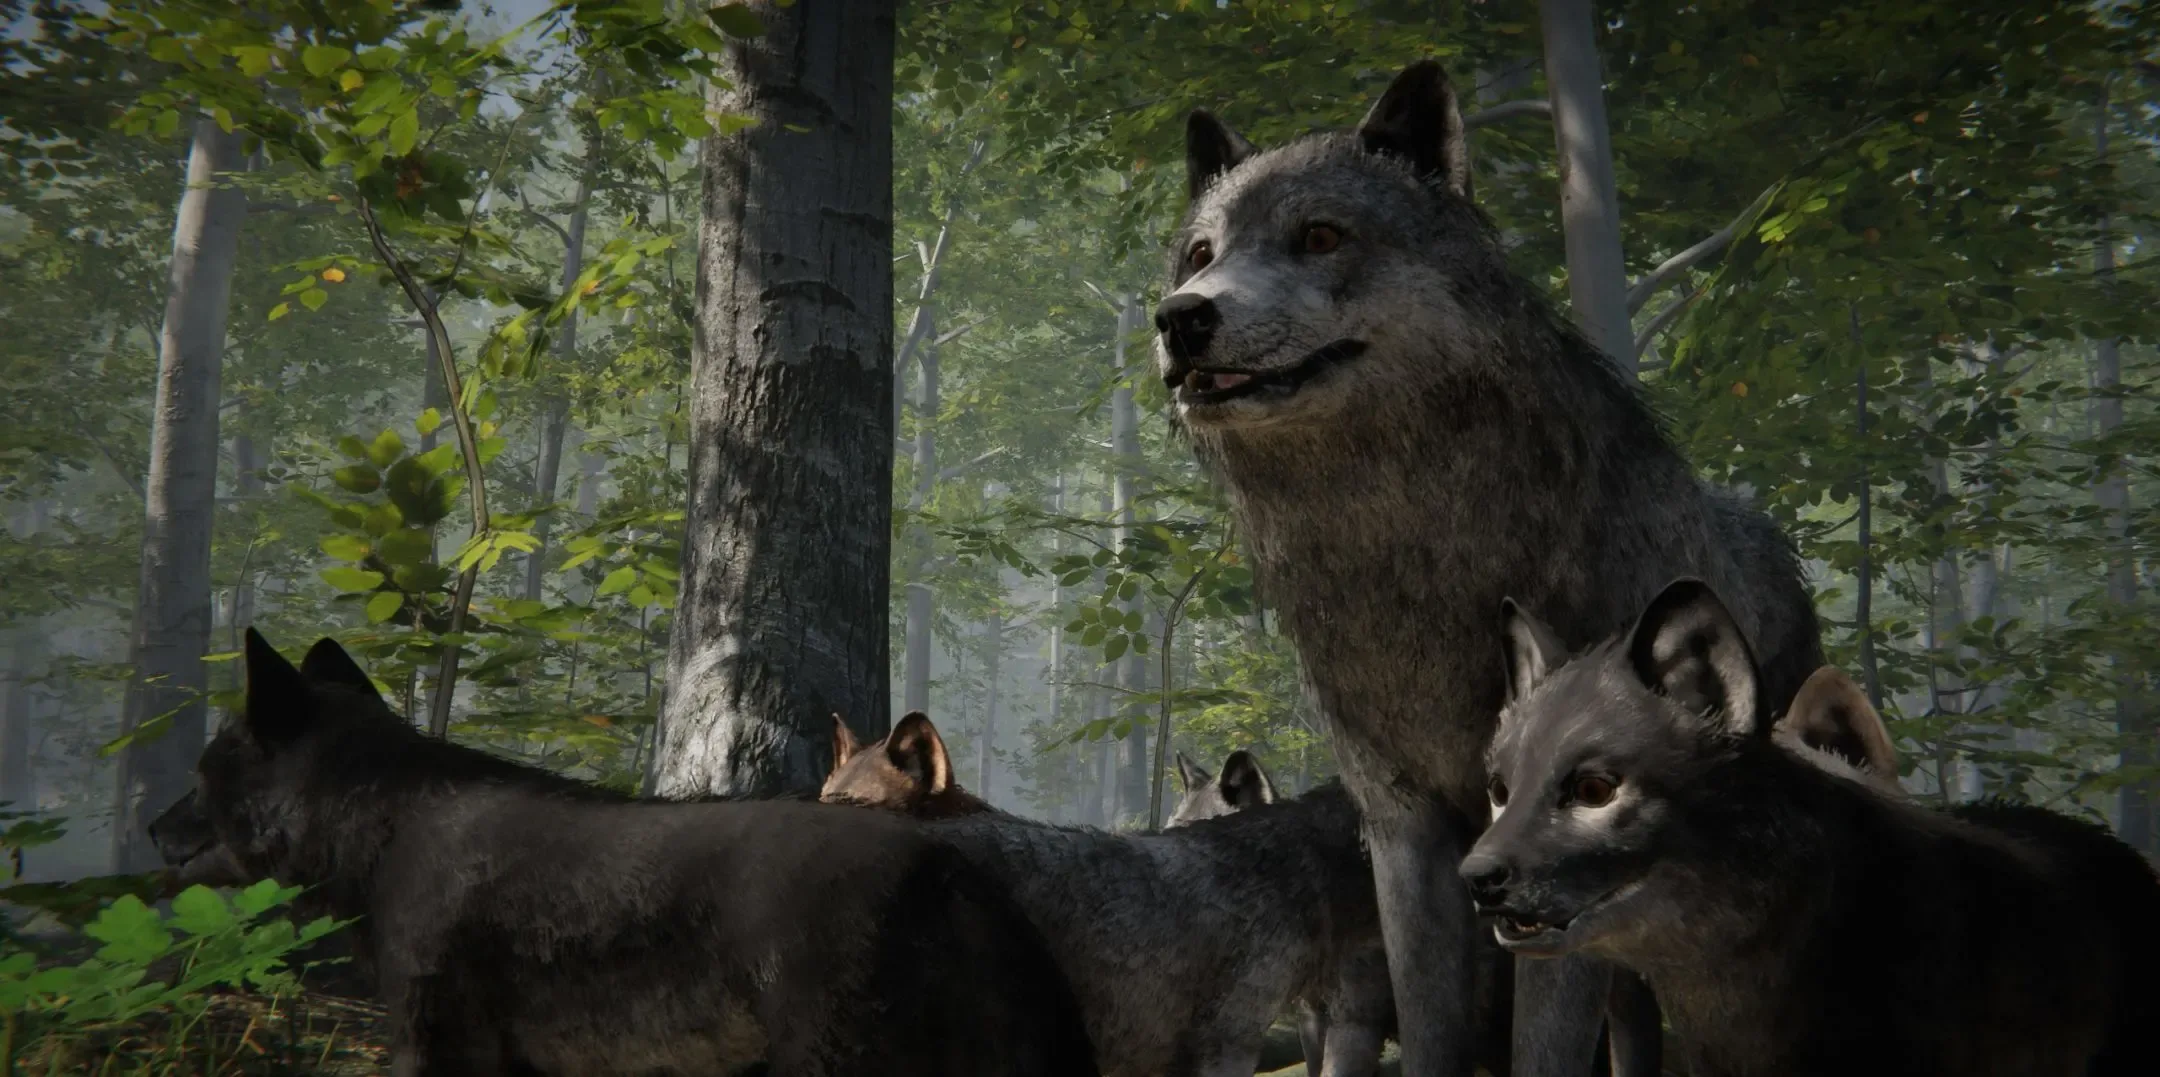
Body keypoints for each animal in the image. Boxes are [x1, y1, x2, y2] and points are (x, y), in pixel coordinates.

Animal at [1153, 57, 1826, 1077]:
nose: (1180, 318)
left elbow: (1543, 1042)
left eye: (1320, 236)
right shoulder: (1403, 831)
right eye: (1199, 254)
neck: (1418, 567)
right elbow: (1434, 1025)